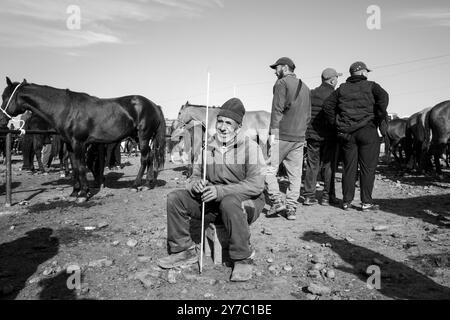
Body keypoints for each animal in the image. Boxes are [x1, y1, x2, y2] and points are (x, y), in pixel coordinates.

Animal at [0, 78, 165, 202]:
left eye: (5, 96)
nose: (1, 120)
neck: (66, 109)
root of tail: (154, 105)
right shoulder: (70, 145)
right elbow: (74, 167)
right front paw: (75, 192)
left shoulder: (79, 143)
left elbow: (80, 167)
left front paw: (84, 194)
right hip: (139, 138)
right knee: (150, 157)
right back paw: (148, 184)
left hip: (143, 137)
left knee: (144, 158)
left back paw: (135, 185)